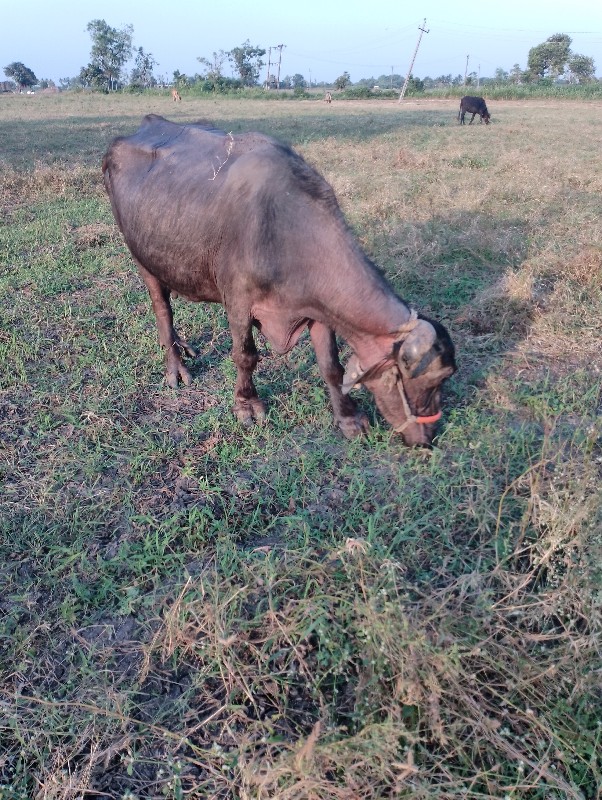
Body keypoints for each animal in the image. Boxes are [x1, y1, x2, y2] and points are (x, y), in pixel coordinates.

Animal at [102, 115, 454, 446]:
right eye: (431, 380)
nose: (427, 438)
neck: (281, 232)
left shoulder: (318, 310)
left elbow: (332, 366)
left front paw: (349, 418)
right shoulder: (238, 303)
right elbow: (245, 356)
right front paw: (247, 405)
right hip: (142, 258)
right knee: (162, 308)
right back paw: (175, 365)